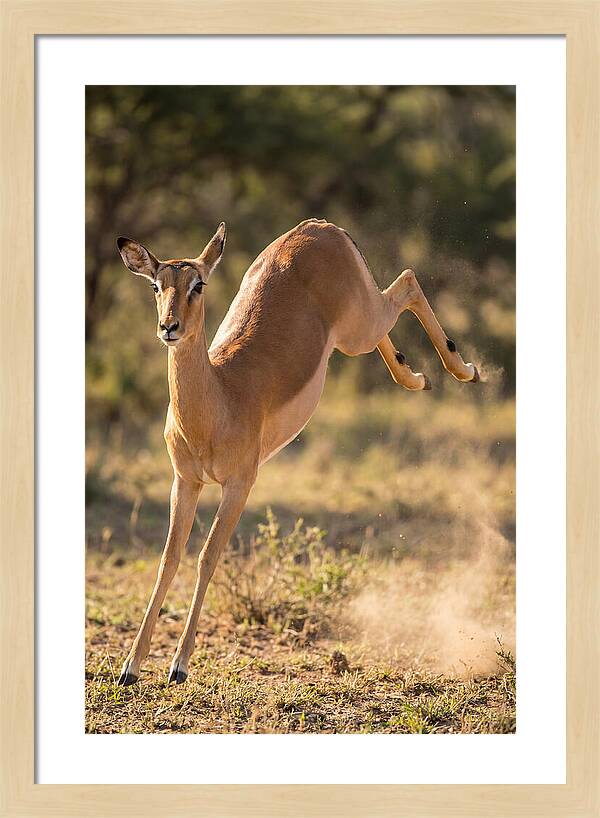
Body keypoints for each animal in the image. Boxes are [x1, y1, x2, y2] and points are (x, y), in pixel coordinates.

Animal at [115, 219, 479, 686]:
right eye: (156, 285)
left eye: (198, 284)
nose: (169, 327)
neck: (219, 398)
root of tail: (320, 226)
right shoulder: (186, 481)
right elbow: (168, 560)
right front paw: (130, 666)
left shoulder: (239, 484)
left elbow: (207, 556)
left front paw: (178, 665)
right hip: (355, 330)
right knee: (396, 307)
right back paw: (416, 377)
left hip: (358, 326)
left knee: (409, 280)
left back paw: (464, 370)